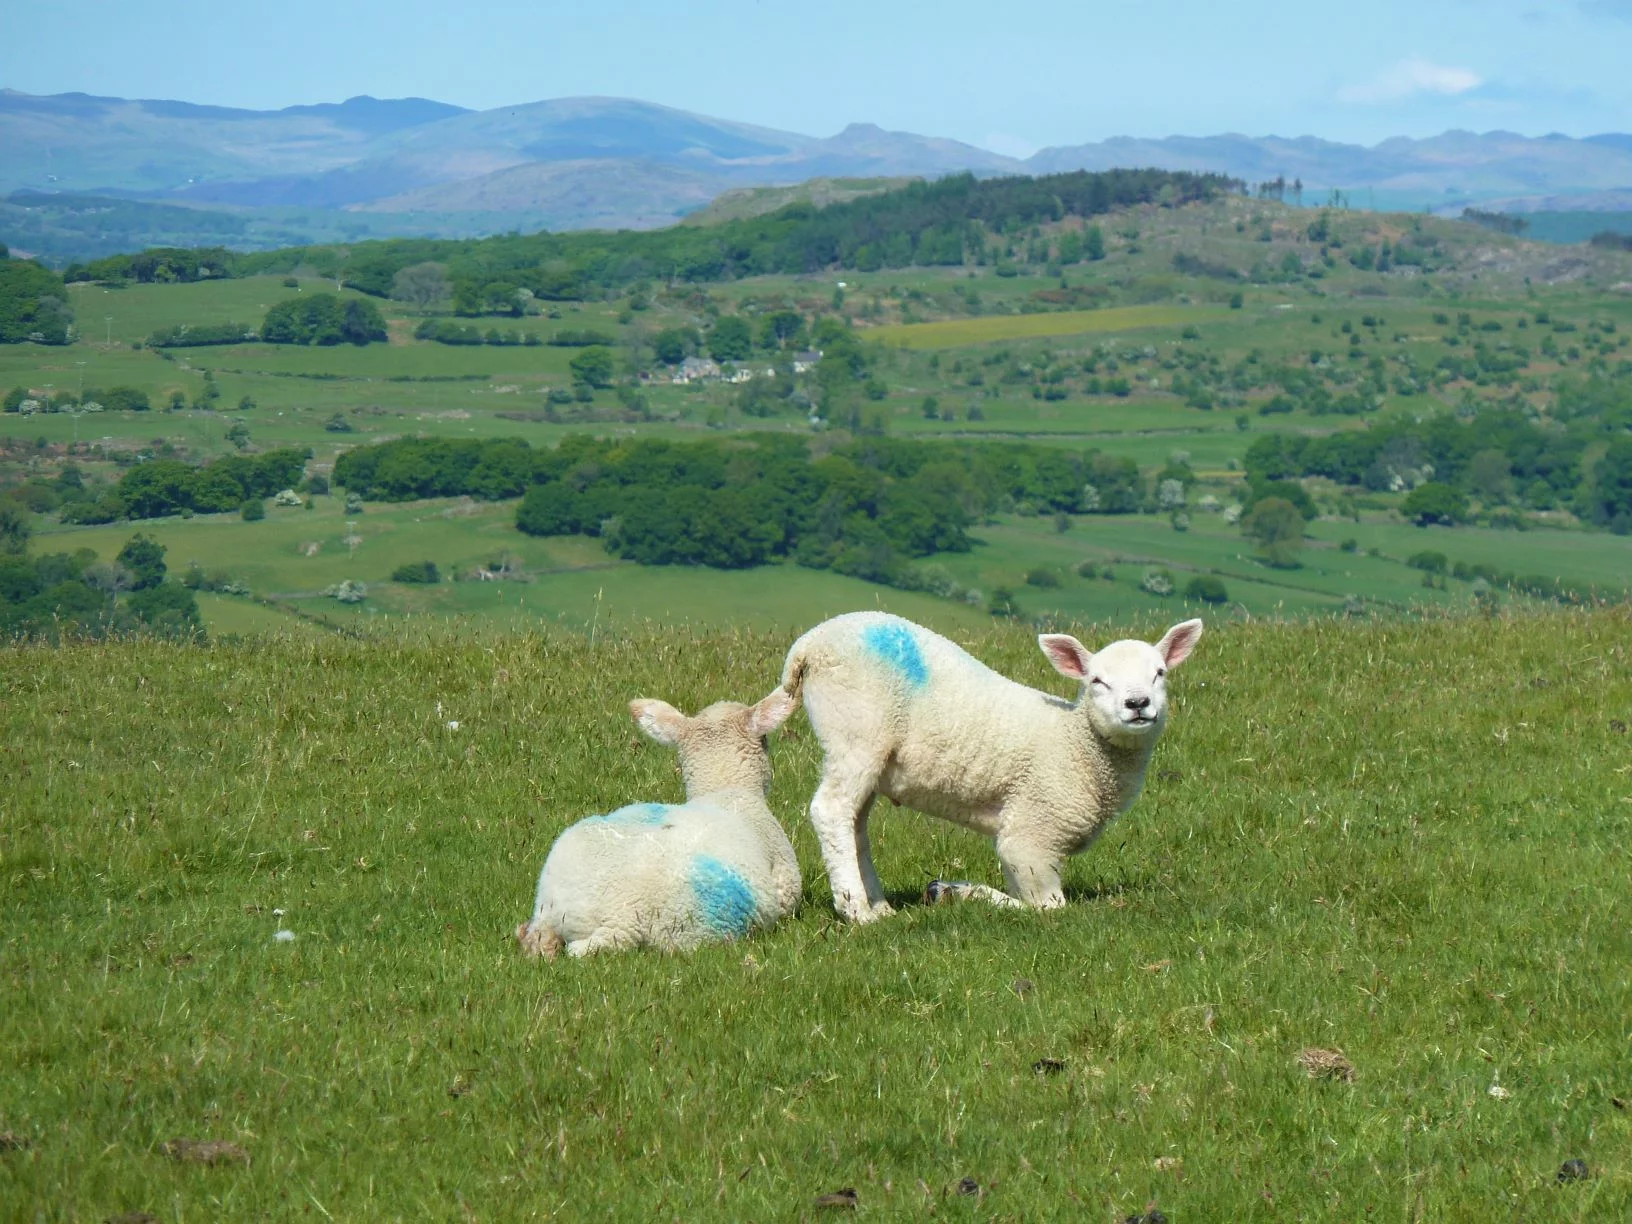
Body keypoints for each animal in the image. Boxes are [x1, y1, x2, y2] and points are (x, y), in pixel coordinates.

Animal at [776, 613, 1201, 920]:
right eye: (1097, 681)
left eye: (1160, 673)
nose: (1138, 703)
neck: (1079, 745)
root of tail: (807, 646)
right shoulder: (1032, 835)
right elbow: (1046, 908)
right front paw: (958, 892)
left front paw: (950, 891)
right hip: (856, 729)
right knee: (830, 810)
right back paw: (857, 911)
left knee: (855, 823)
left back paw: (880, 907)